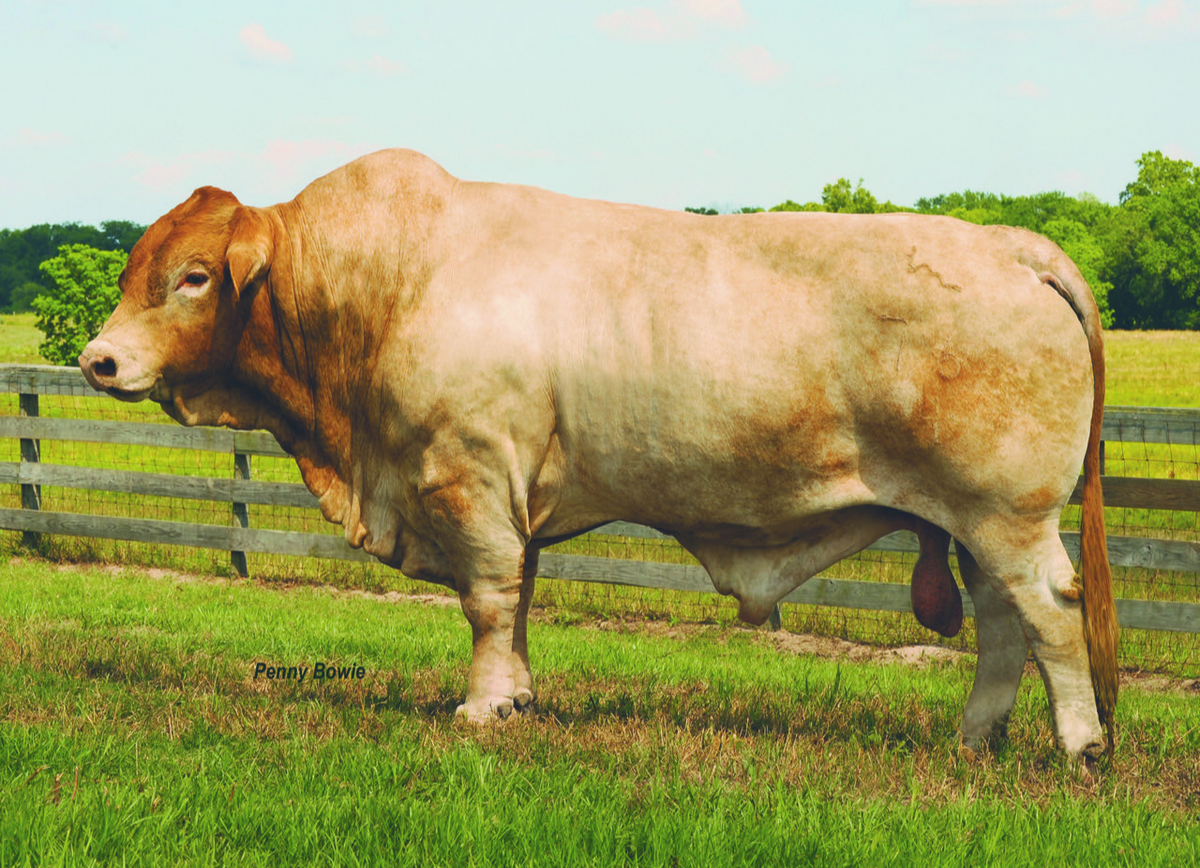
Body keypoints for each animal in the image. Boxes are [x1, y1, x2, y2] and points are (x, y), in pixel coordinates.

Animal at [79, 149, 1118, 758]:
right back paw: (974, 738)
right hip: (978, 524)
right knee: (1003, 628)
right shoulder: (511, 500)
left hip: (1008, 515)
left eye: (194, 277)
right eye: (134, 270)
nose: (98, 360)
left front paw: (481, 709)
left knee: (1048, 613)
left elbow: (488, 601)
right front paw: (520, 699)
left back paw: (1080, 745)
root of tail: (1012, 245)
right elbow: (519, 603)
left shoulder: (466, 479)